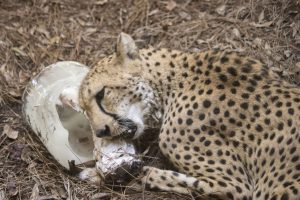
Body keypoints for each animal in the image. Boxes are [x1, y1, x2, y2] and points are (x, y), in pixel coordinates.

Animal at [79, 32, 300, 198]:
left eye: (101, 94)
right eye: (84, 109)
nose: (100, 131)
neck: (171, 82)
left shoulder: (236, 185)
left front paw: (143, 174)